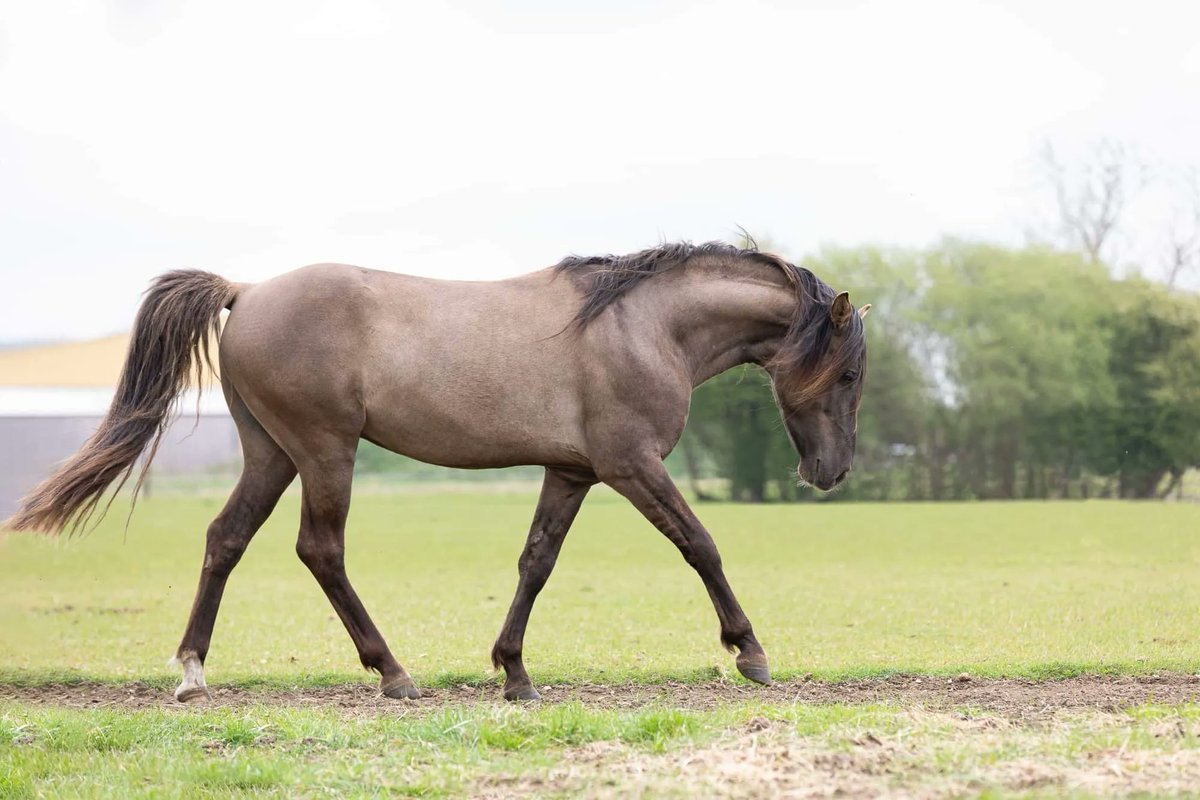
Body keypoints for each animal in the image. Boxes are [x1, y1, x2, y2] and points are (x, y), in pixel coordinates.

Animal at [7, 241, 869, 702]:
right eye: (851, 374)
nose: (830, 474)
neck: (640, 326)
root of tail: (245, 294)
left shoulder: (571, 471)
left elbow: (536, 563)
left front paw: (513, 672)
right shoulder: (632, 466)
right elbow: (701, 545)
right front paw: (750, 652)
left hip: (272, 453)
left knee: (226, 540)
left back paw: (192, 672)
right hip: (324, 451)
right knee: (320, 550)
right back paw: (392, 672)